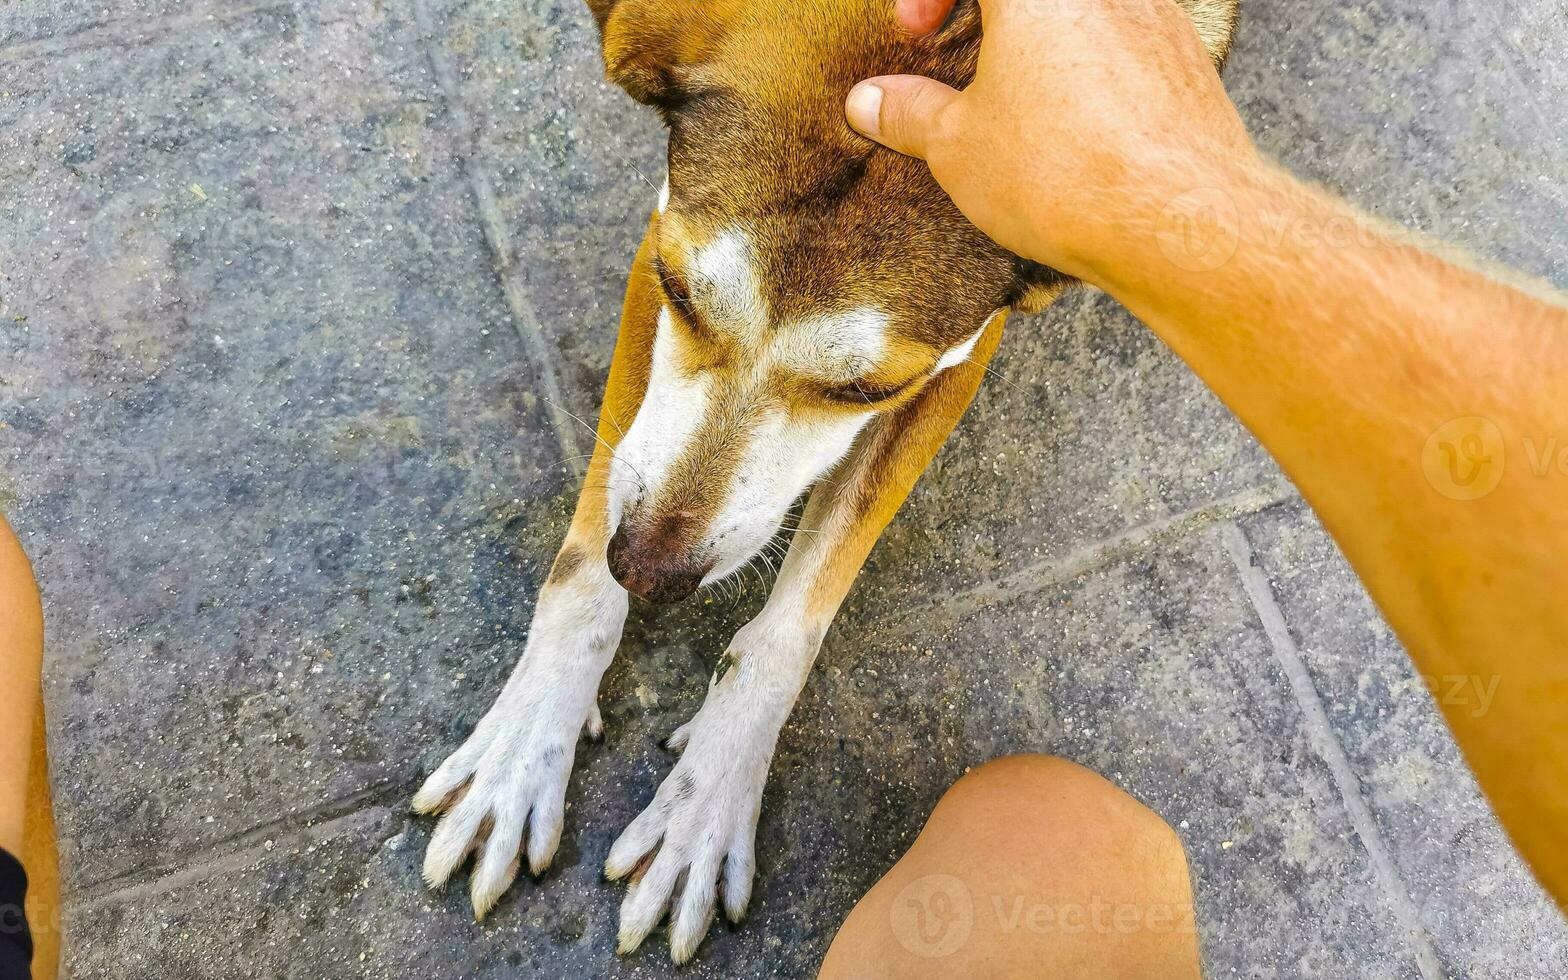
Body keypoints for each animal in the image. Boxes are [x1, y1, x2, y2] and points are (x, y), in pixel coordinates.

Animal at [413, 0, 1235, 965]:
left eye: (865, 391)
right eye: (679, 291)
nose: (650, 573)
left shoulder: (952, 362)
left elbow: (789, 629)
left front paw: (705, 799)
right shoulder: (656, 243)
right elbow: (582, 562)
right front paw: (524, 746)